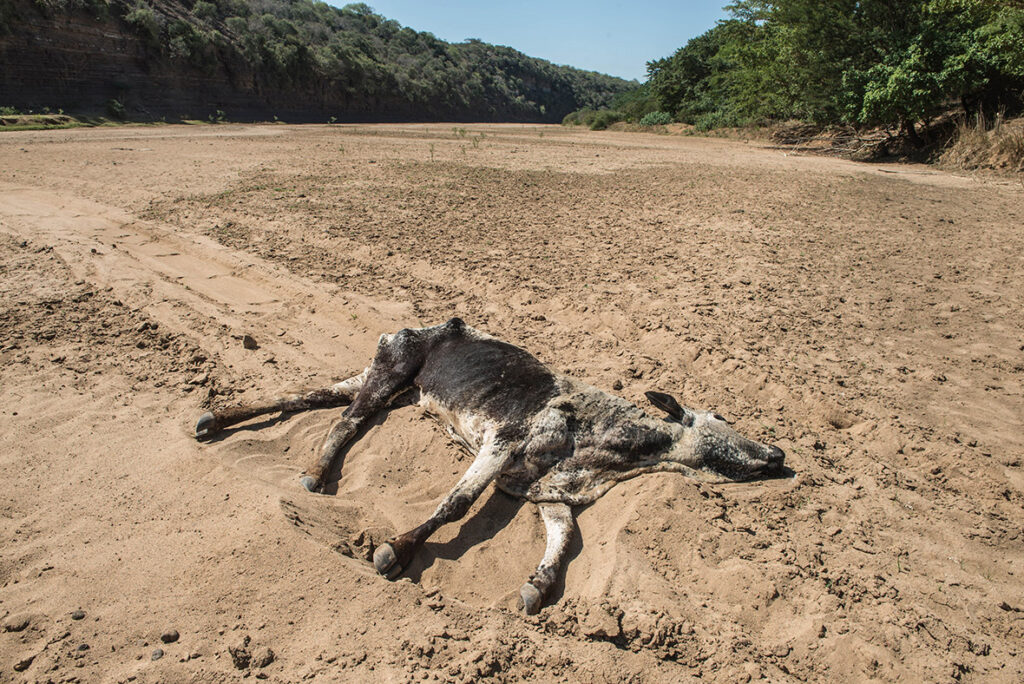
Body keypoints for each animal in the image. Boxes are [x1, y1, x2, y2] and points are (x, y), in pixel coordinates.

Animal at [193, 319, 782, 614]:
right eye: (720, 418)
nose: (777, 454)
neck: (606, 445)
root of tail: (428, 324)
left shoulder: (547, 493)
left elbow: (565, 540)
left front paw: (538, 586)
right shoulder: (500, 443)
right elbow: (456, 504)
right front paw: (396, 549)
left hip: (386, 382)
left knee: (306, 396)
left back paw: (217, 418)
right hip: (390, 371)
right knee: (346, 421)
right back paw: (315, 472)